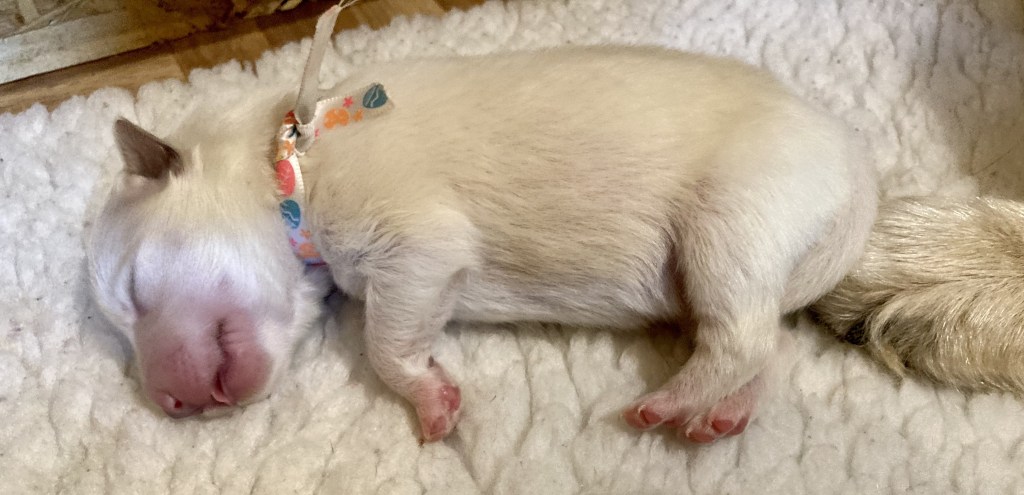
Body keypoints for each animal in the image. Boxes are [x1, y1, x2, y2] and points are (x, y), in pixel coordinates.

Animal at [88, 45, 879, 443]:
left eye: (132, 292)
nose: (169, 405)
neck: (289, 161)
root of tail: (859, 172)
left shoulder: (416, 243)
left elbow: (384, 341)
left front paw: (430, 399)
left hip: (732, 214)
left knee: (741, 336)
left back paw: (664, 402)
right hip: (728, 263)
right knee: (764, 339)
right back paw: (725, 410)